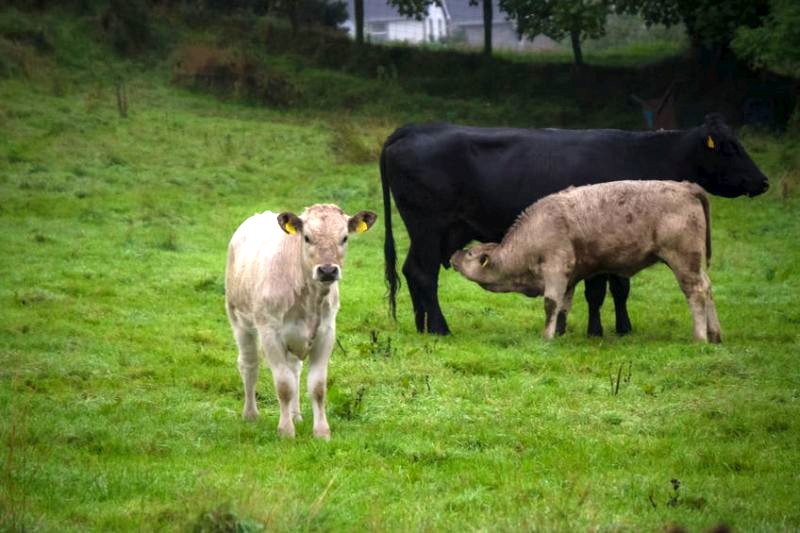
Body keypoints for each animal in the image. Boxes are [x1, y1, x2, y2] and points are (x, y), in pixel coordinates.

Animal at [454, 181, 720, 342]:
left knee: (696, 292)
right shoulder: (569, 277)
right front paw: (560, 333)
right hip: (695, 264)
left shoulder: (556, 267)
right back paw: (715, 334)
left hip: (683, 259)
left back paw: (700, 337)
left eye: (469, 253)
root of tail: (686, 187)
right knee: (708, 288)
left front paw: (546, 336)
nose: (452, 255)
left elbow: (550, 303)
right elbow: (563, 306)